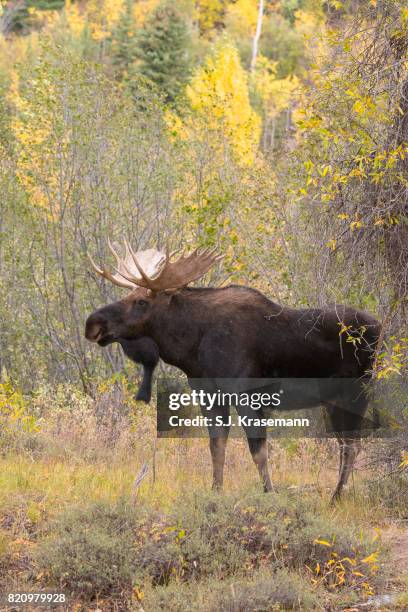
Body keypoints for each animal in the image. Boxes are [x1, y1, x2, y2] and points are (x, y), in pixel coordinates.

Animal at [84, 240, 380, 502]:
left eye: (141, 302)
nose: (93, 323)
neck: (193, 346)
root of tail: (379, 327)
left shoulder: (247, 394)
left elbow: (258, 450)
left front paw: (269, 493)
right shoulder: (208, 393)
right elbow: (216, 446)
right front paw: (216, 491)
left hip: (356, 393)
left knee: (351, 445)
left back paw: (336, 498)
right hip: (334, 400)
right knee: (345, 444)